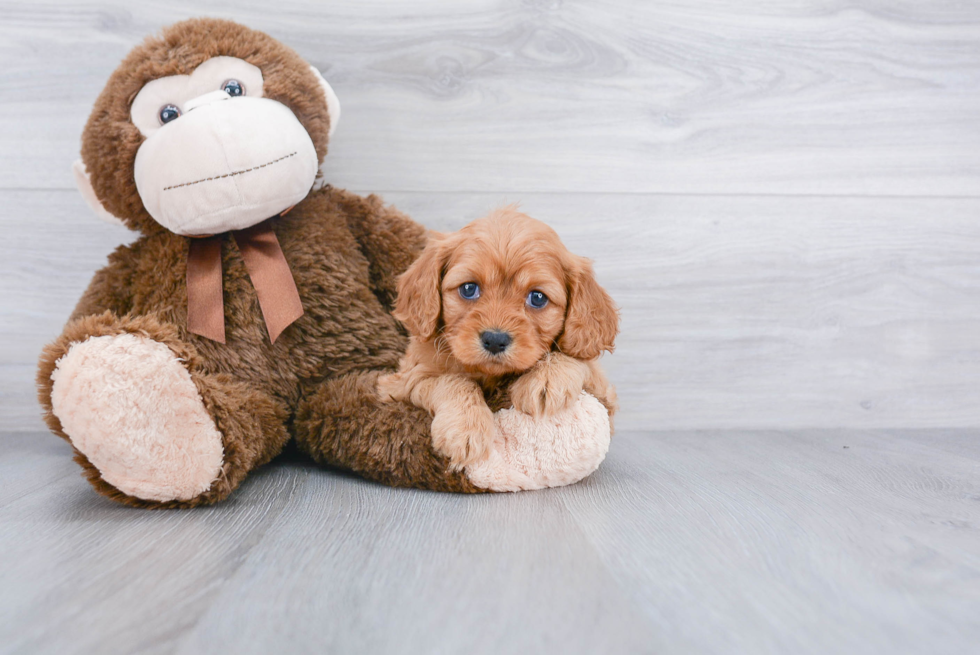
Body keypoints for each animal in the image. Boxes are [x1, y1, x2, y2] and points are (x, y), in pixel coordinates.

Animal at [378, 208, 616, 468]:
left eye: (538, 298)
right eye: (469, 288)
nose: (494, 340)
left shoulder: (605, 393)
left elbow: (580, 358)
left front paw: (545, 378)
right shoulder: (401, 382)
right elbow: (452, 380)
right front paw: (466, 429)